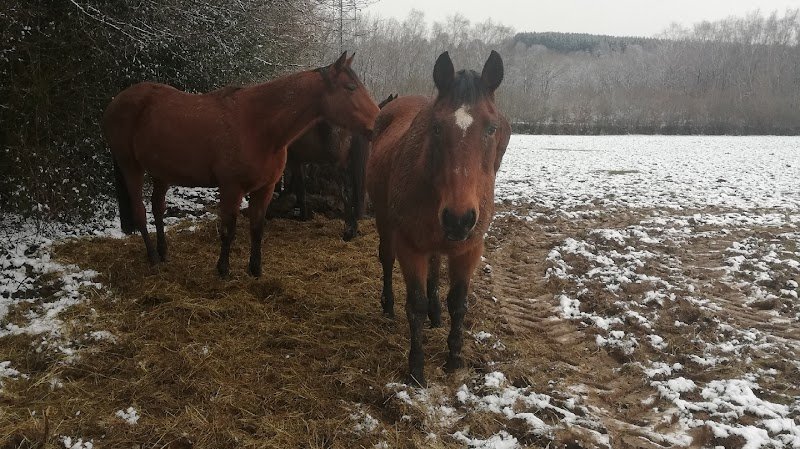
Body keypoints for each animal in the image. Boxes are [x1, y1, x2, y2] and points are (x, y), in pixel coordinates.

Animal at [103, 52, 380, 278]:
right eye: (351, 87)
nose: (377, 122)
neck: (259, 126)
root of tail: (117, 101)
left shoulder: (265, 189)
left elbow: (257, 228)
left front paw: (255, 270)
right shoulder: (231, 189)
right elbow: (229, 229)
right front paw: (223, 270)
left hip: (162, 172)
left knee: (158, 209)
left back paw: (163, 252)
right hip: (131, 167)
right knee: (140, 211)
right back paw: (152, 257)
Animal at [366, 51, 510, 386]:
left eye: (491, 127)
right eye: (436, 127)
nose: (460, 218)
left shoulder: (469, 249)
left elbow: (458, 304)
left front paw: (454, 359)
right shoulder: (410, 247)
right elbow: (414, 305)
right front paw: (416, 368)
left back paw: (436, 313)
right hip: (385, 222)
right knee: (386, 259)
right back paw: (388, 306)